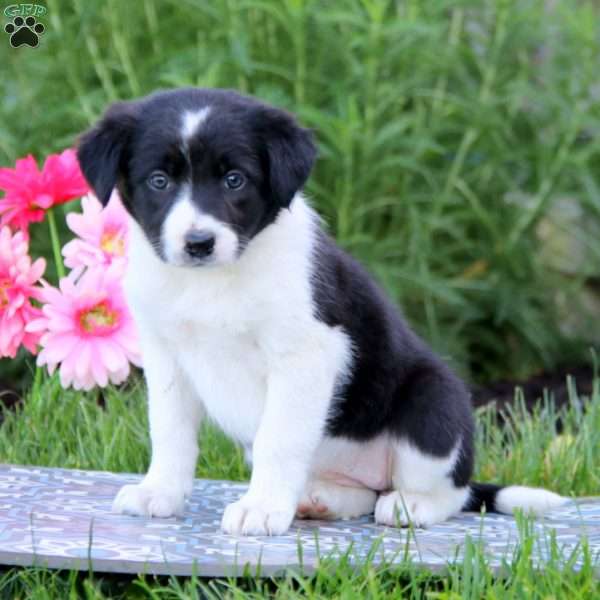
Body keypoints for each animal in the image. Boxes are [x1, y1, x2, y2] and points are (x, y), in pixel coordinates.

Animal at [76, 88, 568, 536]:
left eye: (234, 179)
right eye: (159, 181)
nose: (199, 243)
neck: (212, 282)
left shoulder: (306, 354)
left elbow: (279, 439)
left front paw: (261, 509)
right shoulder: (167, 357)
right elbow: (170, 432)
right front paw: (159, 492)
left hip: (434, 402)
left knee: (448, 490)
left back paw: (411, 505)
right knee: (359, 495)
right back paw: (319, 501)